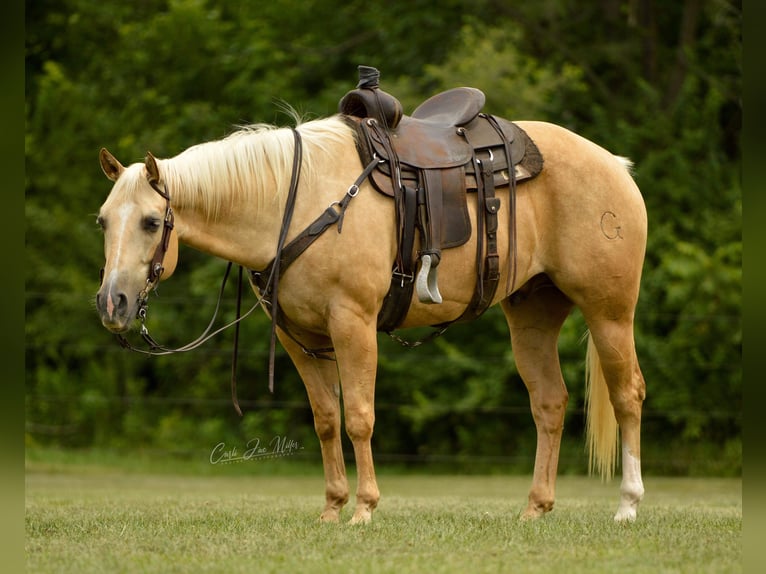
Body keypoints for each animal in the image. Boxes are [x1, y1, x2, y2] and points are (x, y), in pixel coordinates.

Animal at [94, 113, 648, 528]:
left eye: (151, 222)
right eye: (102, 221)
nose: (111, 303)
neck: (297, 204)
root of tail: (616, 167)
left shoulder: (352, 323)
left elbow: (359, 416)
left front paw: (363, 509)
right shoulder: (300, 339)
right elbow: (326, 419)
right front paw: (332, 508)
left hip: (610, 313)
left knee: (628, 395)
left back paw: (627, 505)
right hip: (533, 314)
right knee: (550, 404)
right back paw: (536, 507)